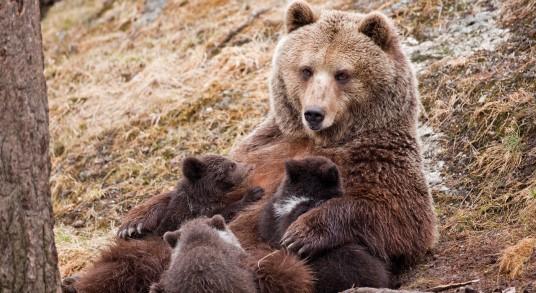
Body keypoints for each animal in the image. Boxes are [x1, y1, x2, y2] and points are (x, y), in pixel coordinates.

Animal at [75, 1, 438, 290]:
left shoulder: (376, 157)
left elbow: (400, 216)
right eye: (306, 69)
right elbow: (199, 189)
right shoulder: (262, 148)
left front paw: (303, 232)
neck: (318, 138)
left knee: (278, 268)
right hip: (158, 249)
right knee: (124, 261)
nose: (314, 113)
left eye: (342, 73)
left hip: (259, 254)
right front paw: (134, 220)